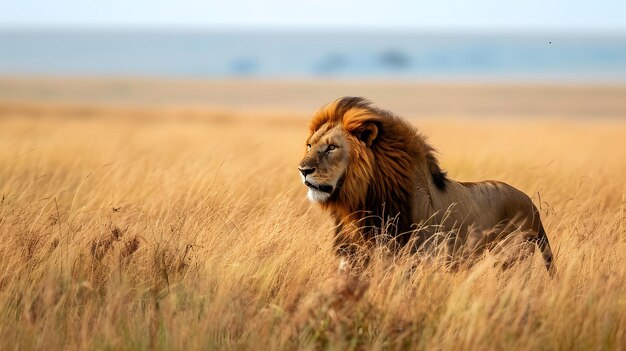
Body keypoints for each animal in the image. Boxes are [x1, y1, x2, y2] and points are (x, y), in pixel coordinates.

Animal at [298, 96, 552, 276]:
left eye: (331, 147)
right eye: (310, 145)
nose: (302, 170)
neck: (359, 206)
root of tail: (531, 205)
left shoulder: (411, 261)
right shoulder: (352, 259)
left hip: (513, 260)